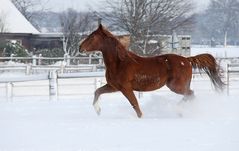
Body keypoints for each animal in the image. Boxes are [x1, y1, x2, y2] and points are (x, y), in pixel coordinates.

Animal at [79, 23, 225, 118]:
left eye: (92, 36)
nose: (80, 48)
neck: (119, 62)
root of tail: (187, 60)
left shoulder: (126, 88)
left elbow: (135, 105)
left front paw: (141, 118)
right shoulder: (114, 86)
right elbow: (97, 92)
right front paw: (98, 111)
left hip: (176, 86)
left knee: (190, 94)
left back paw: (178, 110)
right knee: (190, 95)